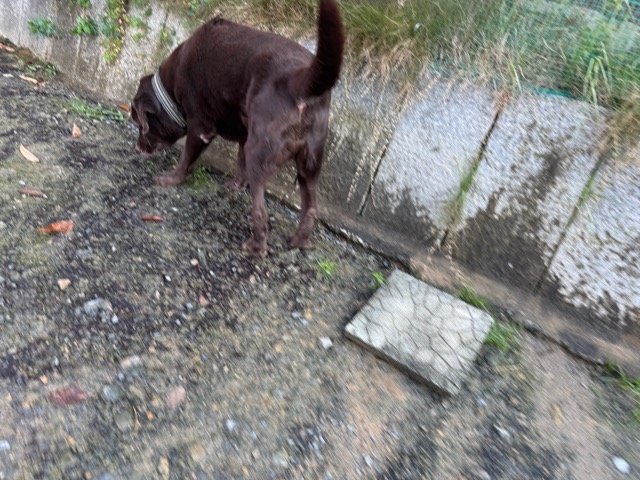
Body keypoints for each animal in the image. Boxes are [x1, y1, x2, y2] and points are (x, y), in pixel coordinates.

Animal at [130, 0, 344, 257]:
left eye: (141, 125)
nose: (137, 149)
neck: (171, 89)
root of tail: (299, 79)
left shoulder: (200, 127)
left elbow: (186, 158)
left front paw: (171, 179)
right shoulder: (244, 132)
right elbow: (239, 161)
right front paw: (235, 185)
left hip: (261, 152)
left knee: (261, 210)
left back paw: (257, 246)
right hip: (310, 160)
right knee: (310, 206)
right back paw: (300, 241)